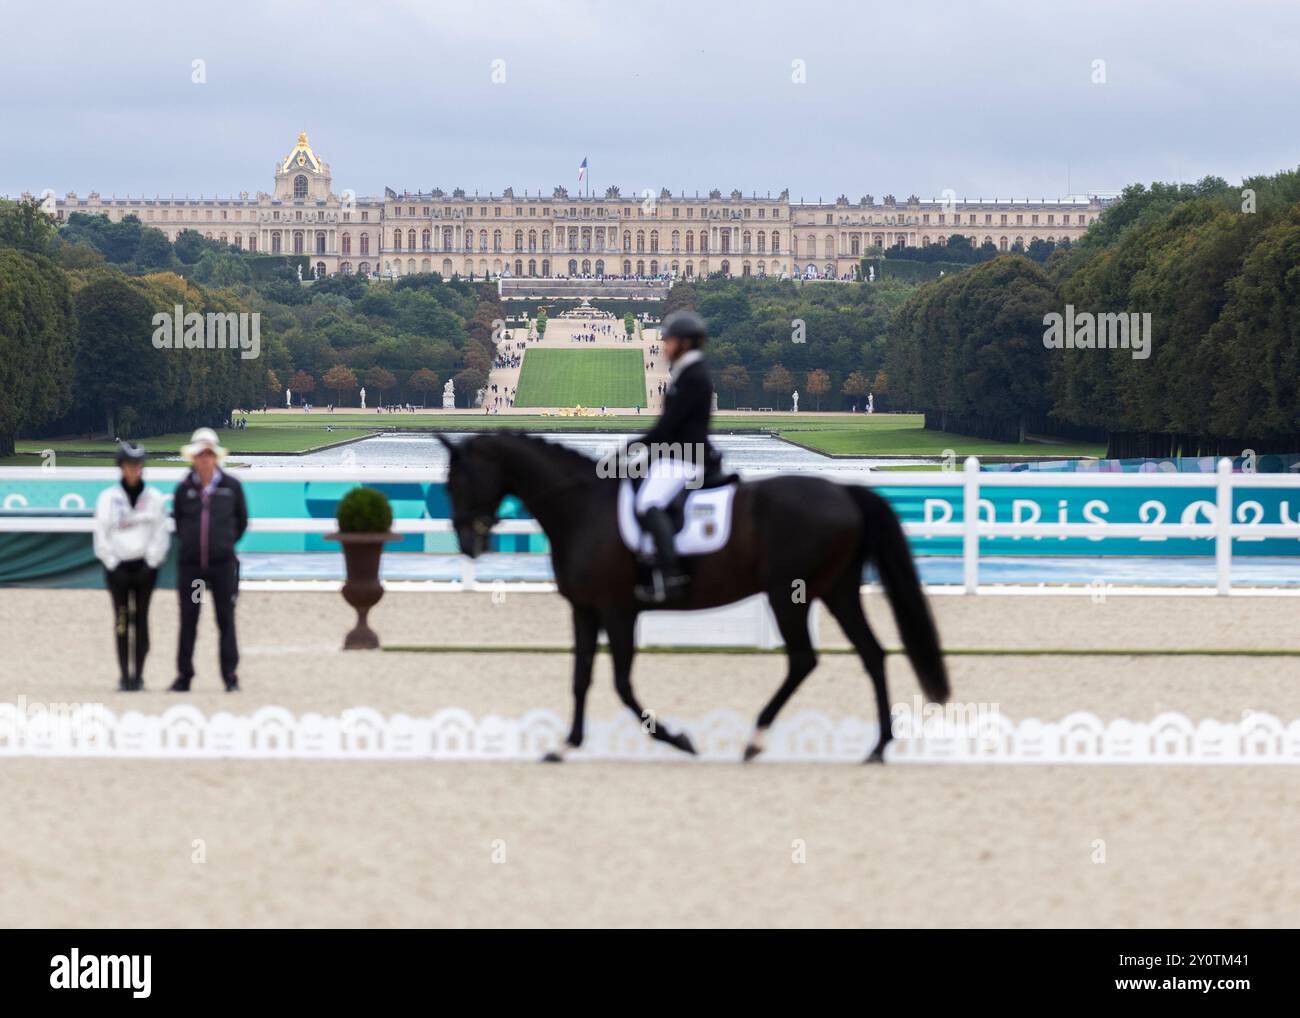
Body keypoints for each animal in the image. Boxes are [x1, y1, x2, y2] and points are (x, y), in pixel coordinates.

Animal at [436, 431, 946, 764]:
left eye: (457, 480)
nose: (467, 541)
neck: (583, 509)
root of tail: (845, 490)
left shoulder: (618, 610)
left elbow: (621, 684)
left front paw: (677, 738)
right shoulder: (585, 609)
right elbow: (581, 678)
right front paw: (566, 743)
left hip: (790, 594)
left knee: (805, 658)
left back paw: (757, 739)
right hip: (835, 592)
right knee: (872, 653)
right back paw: (878, 745)